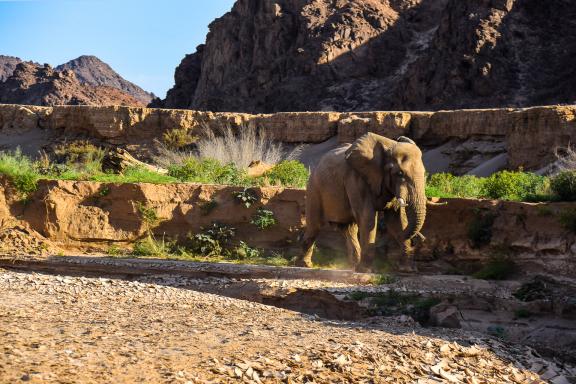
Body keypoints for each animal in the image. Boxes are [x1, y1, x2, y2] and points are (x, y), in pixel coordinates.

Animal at [296, 132, 428, 272]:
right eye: (399, 173)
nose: (422, 238)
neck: (389, 144)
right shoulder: (355, 179)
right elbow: (367, 218)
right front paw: (366, 271)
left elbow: (396, 221)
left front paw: (407, 269)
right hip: (314, 189)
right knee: (314, 226)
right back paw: (305, 265)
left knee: (349, 229)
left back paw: (353, 267)